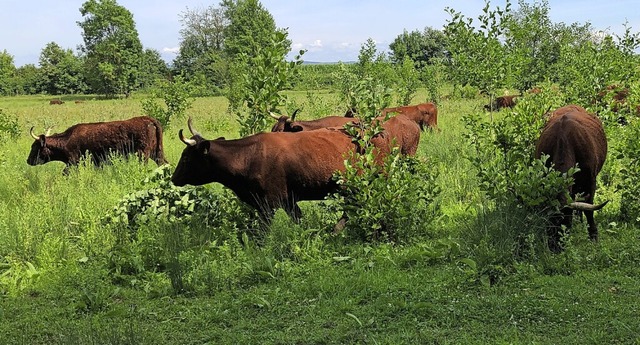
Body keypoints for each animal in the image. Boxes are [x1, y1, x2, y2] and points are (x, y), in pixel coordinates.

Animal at [532, 103, 608, 251]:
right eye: (548, 219)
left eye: (565, 219)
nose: (555, 247)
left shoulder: (591, 182)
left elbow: (589, 208)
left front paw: (593, 236)